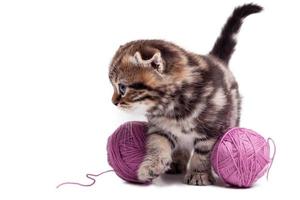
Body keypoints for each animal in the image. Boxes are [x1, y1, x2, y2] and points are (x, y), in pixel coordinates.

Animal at [108, 3, 262, 185]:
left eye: (122, 87)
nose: (113, 102)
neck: (171, 106)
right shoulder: (160, 127)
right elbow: (157, 144)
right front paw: (151, 167)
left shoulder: (213, 128)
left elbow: (203, 152)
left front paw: (199, 174)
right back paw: (176, 162)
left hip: (233, 115)